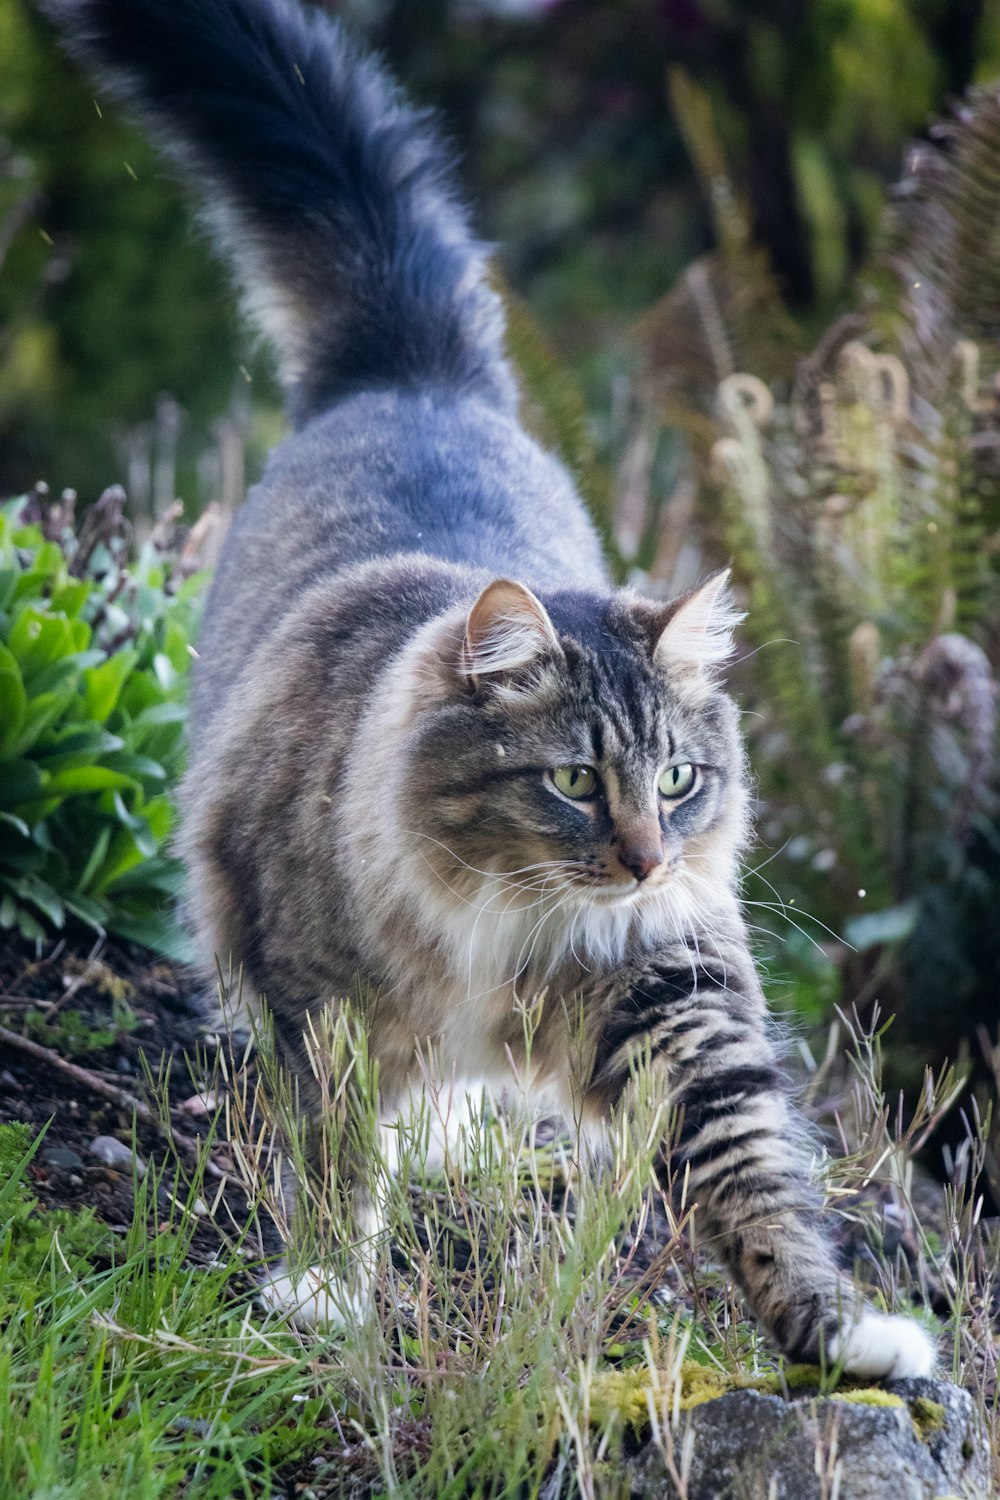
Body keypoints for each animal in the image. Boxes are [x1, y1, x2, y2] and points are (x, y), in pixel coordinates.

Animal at [46, 0, 941, 1380]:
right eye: (573, 781)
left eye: (675, 780)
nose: (640, 860)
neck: (500, 923)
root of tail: (410, 375)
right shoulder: (317, 1006)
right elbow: (335, 1156)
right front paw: (326, 1288)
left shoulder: (676, 998)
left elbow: (753, 1179)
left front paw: (836, 1335)